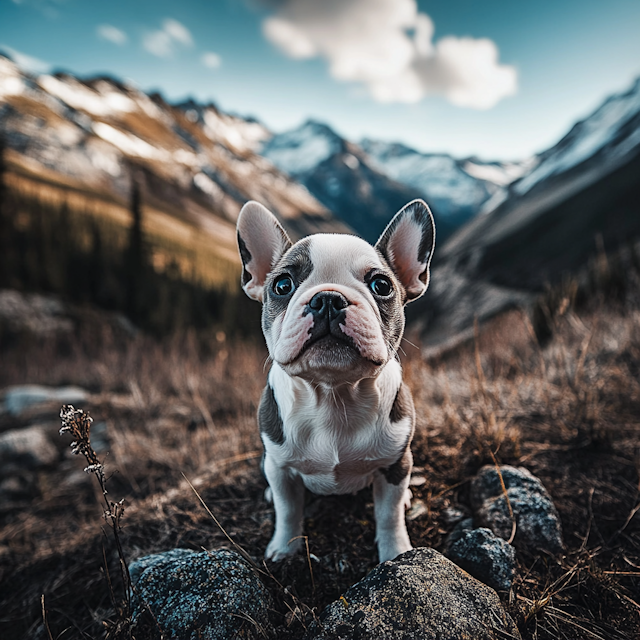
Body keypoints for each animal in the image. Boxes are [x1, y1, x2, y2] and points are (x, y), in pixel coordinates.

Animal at [236, 199, 436, 560]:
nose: (328, 298)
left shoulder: (396, 463)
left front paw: (396, 553)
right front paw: (284, 549)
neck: (333, 395)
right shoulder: (280, 468)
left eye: (382, 286)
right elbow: (288, 510)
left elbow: (389, 515)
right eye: (282, 285)